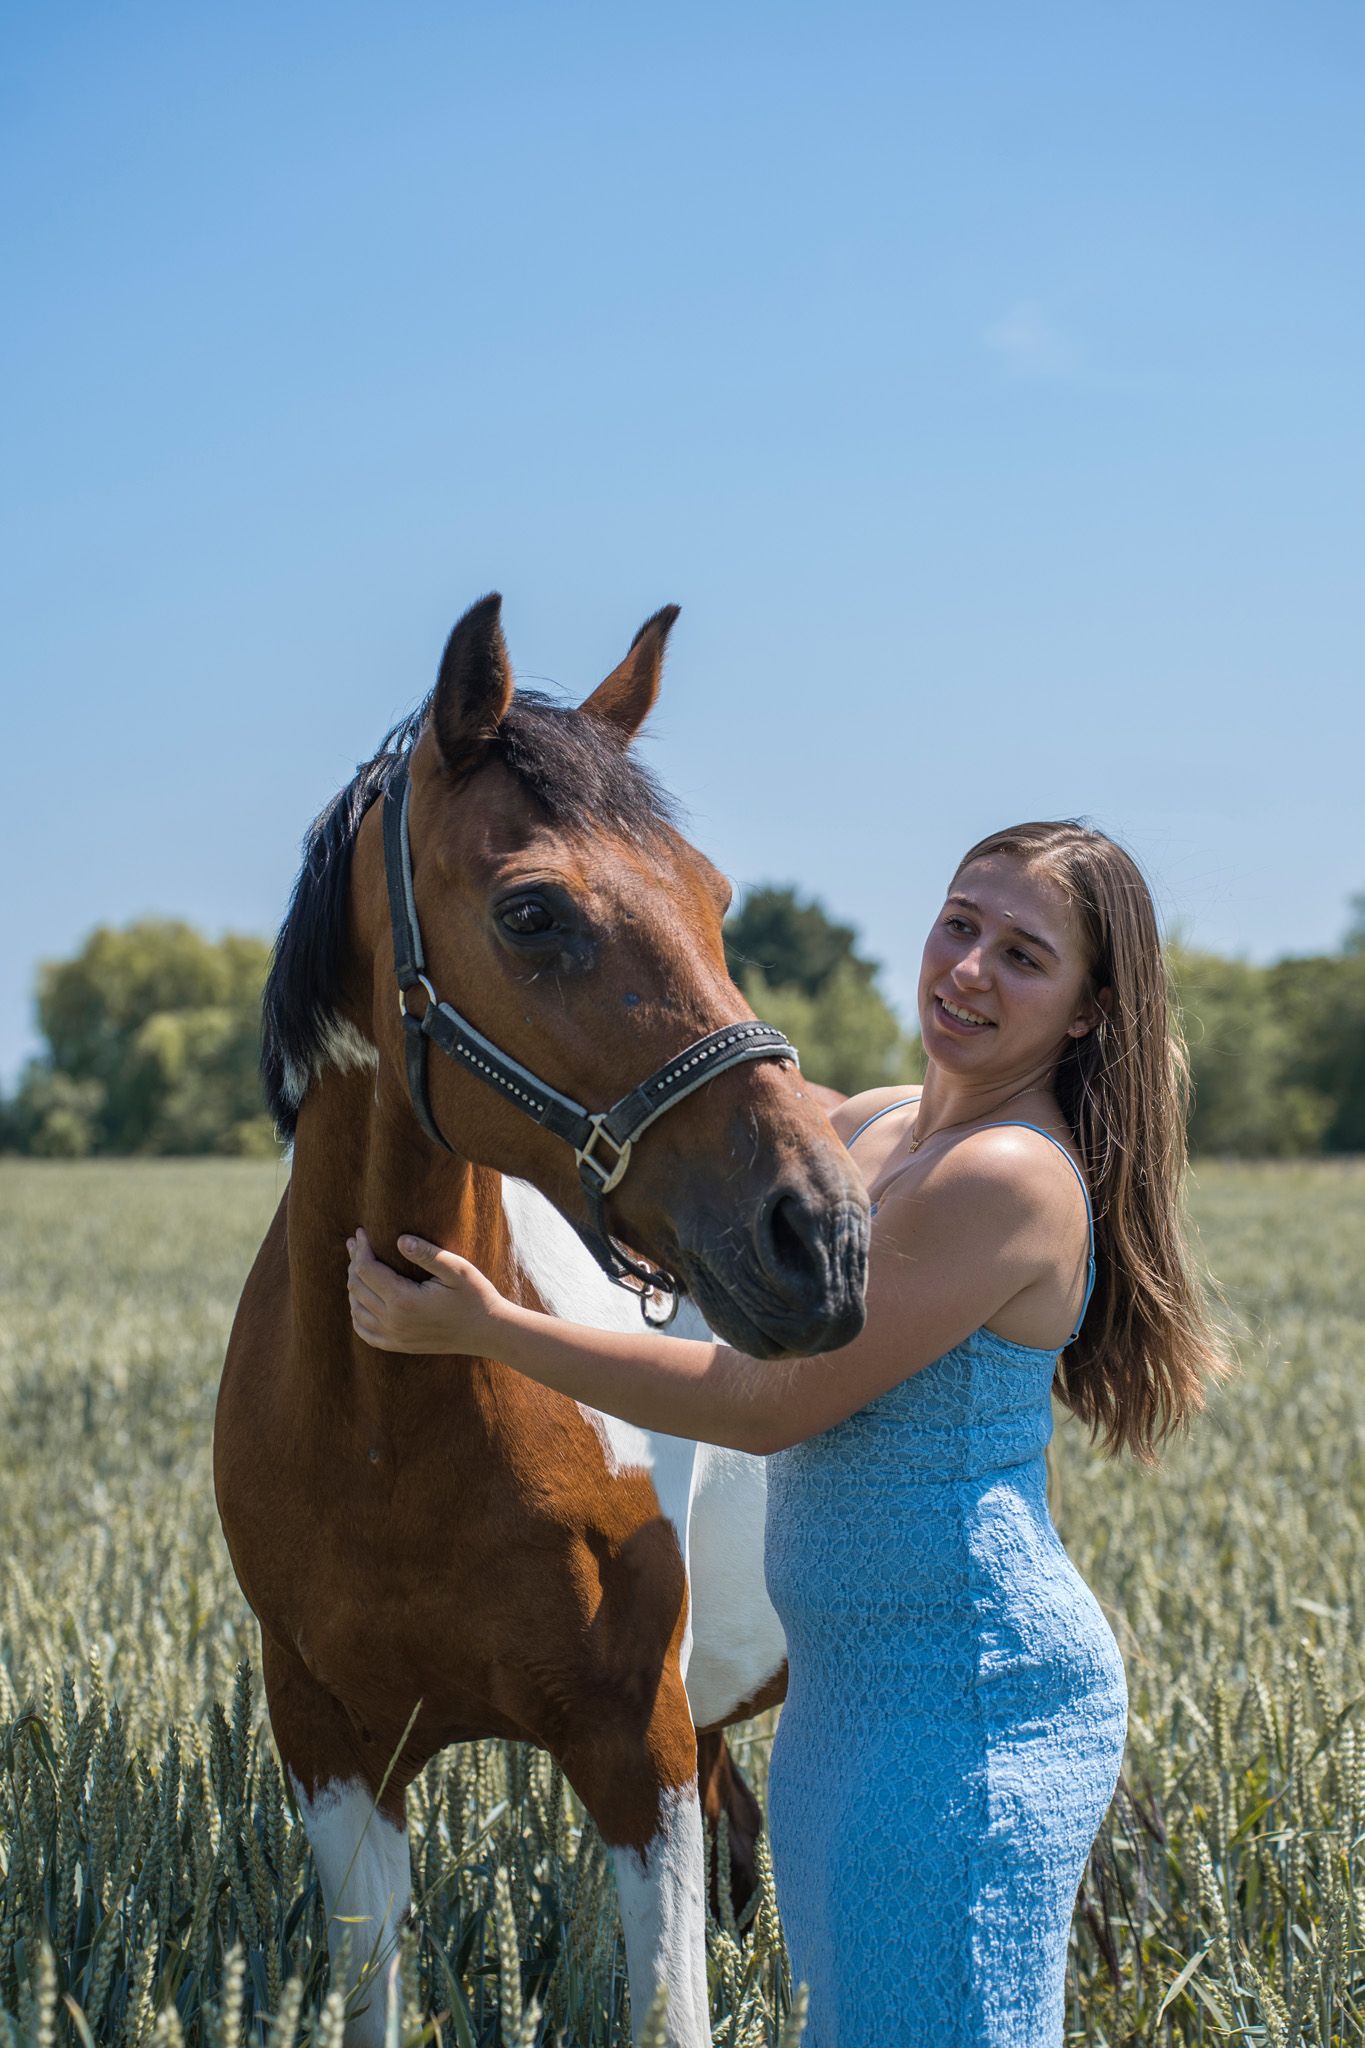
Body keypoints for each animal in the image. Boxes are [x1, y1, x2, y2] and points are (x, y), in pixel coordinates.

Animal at [215, 595, 871, 2048]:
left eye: (714, 898)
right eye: (532, 911)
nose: (824, 1238)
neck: (388, 1426)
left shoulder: (636, 1745)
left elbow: (670, 2009)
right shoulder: (335, 1753)